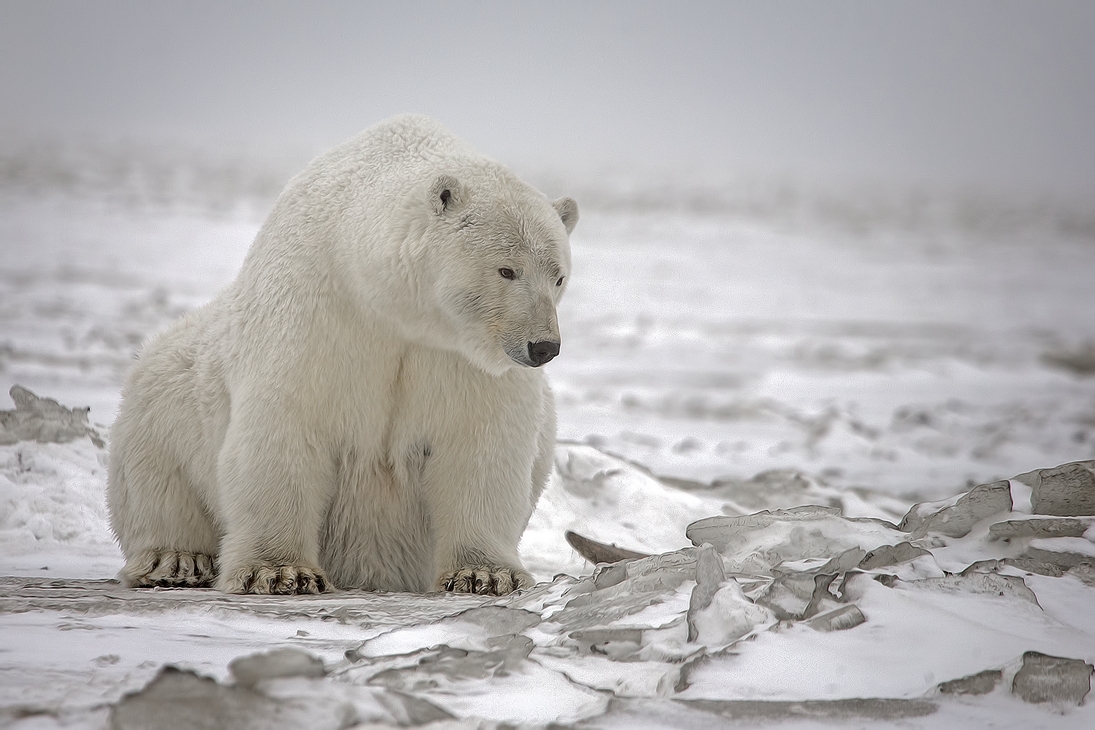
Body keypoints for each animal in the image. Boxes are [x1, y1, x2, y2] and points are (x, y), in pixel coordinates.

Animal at [107, 114, 578, 596]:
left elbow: (480, 446)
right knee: (155, 476)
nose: (543, 346)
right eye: (507, 270)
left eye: (558, 277)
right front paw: (280, 572)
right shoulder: (318, 312)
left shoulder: (461, 357)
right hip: (167, 395)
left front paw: (485, 574)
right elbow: (286, 427)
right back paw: (178, 559)